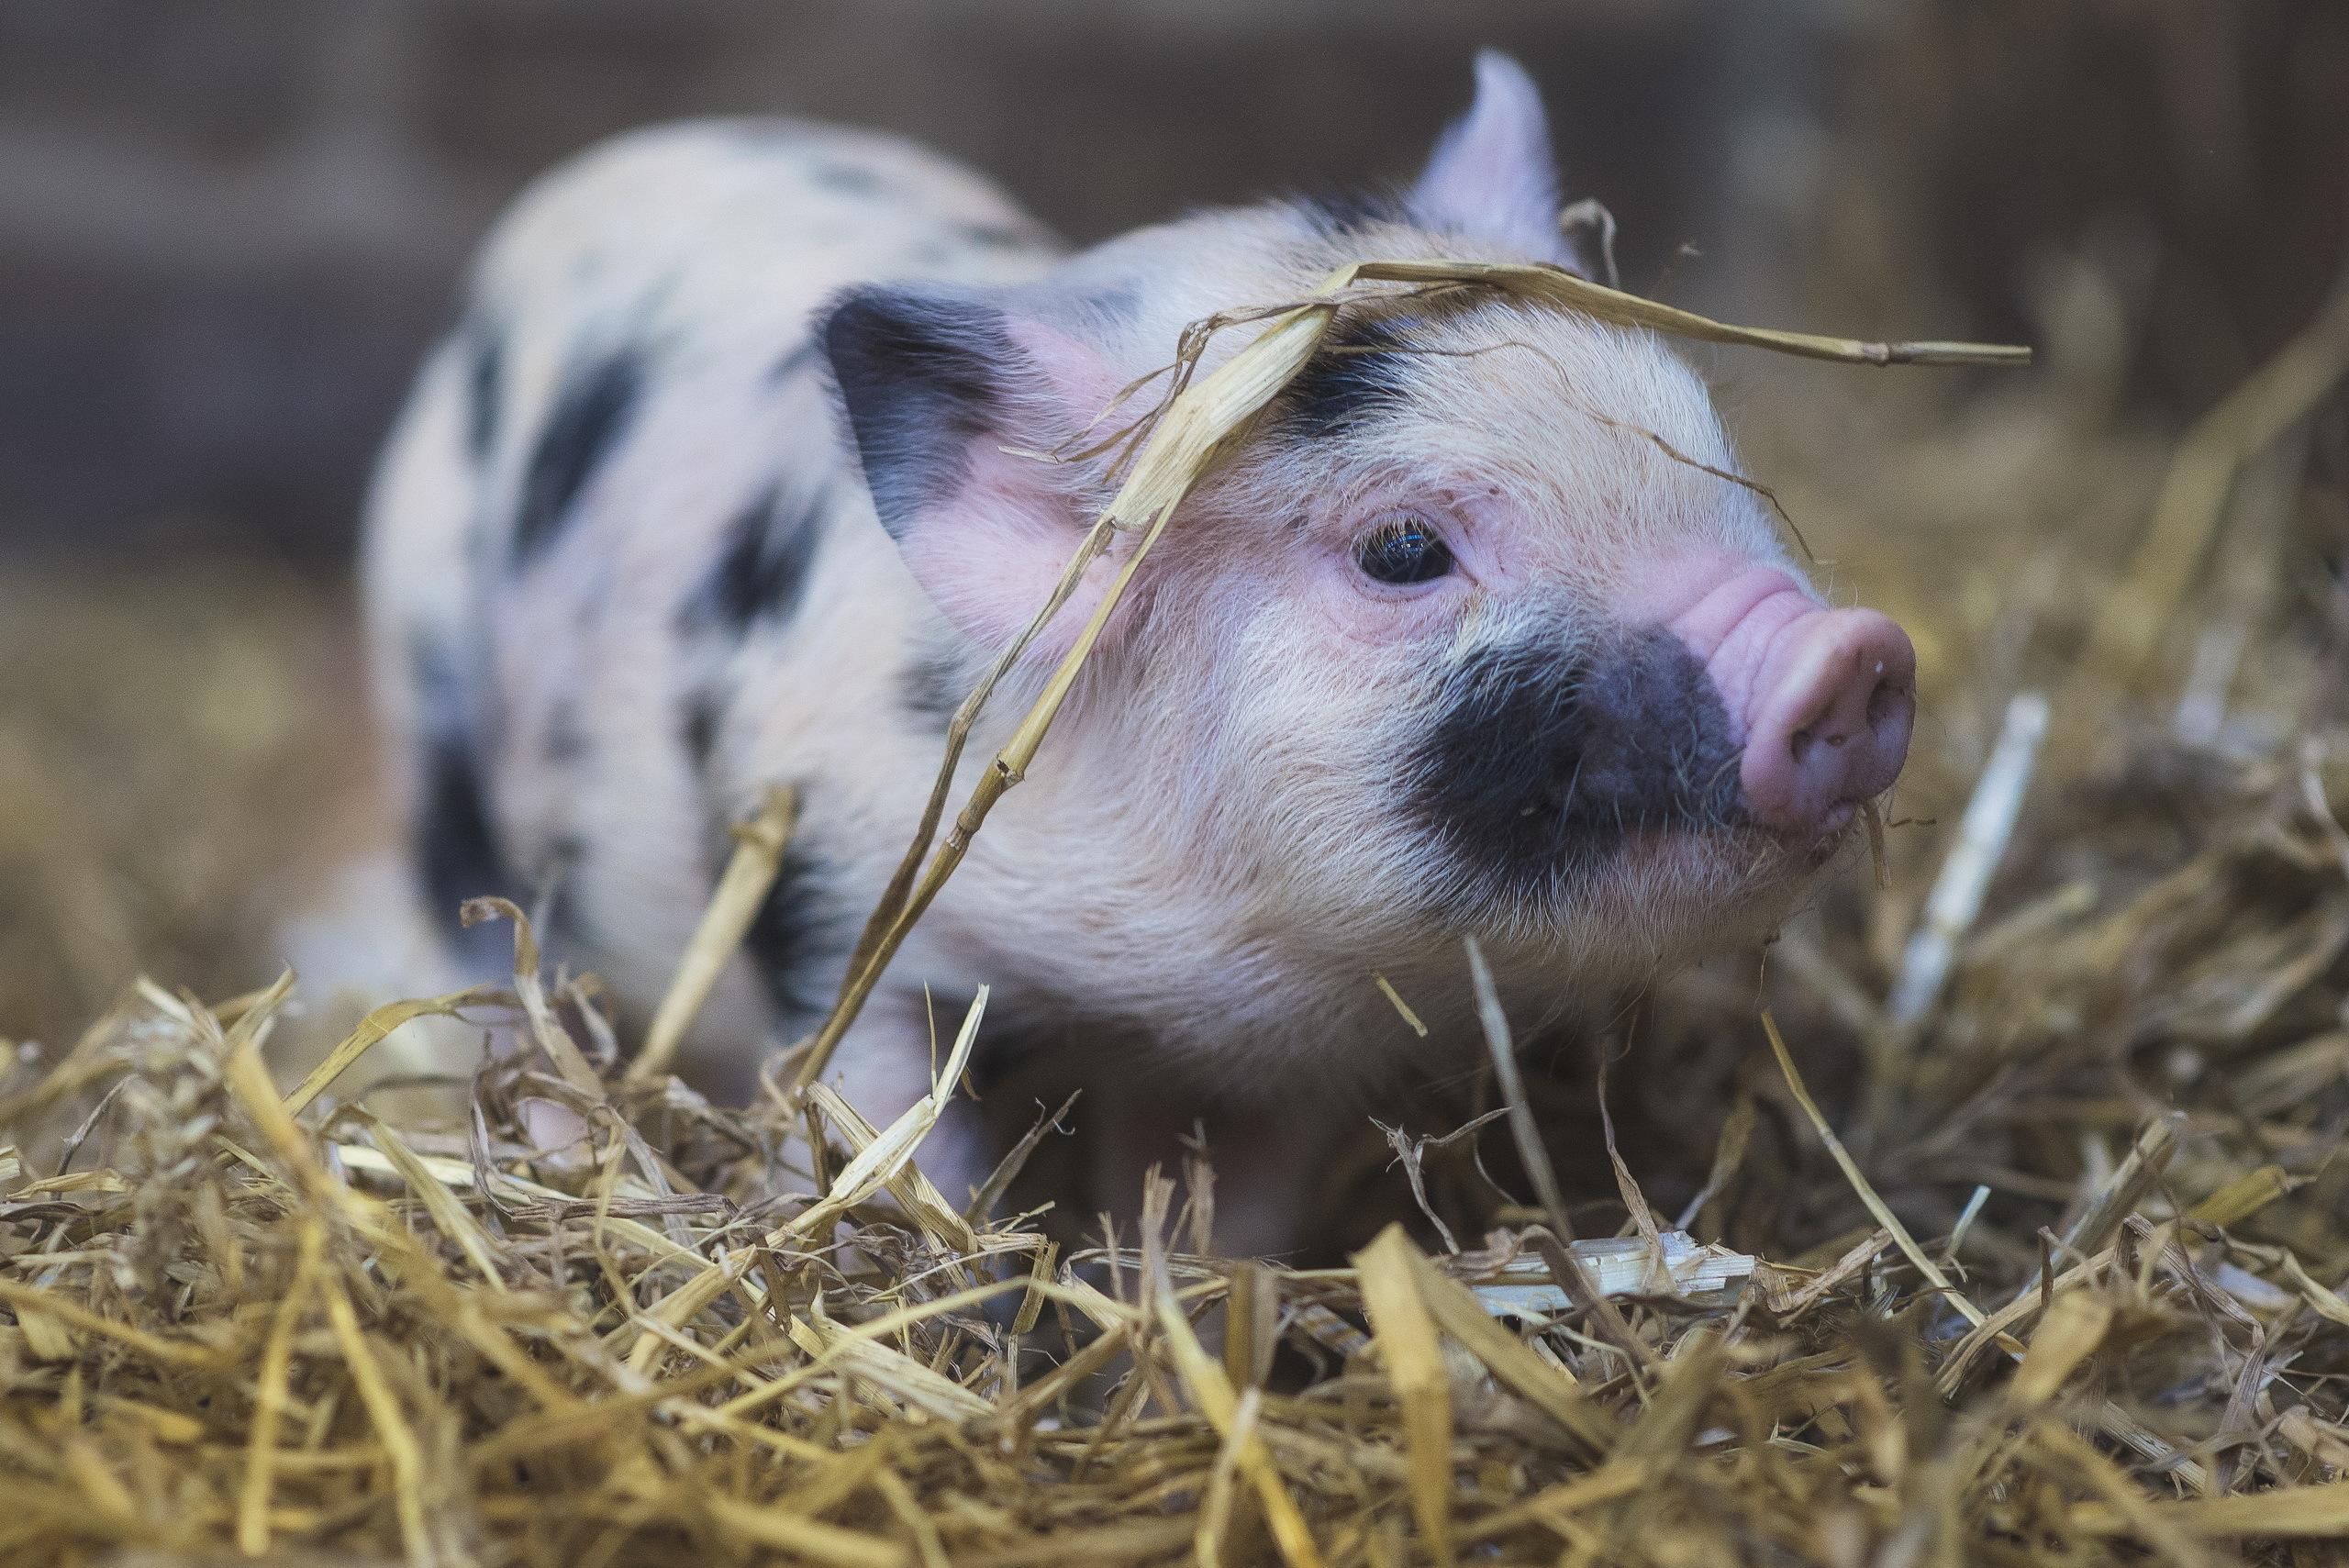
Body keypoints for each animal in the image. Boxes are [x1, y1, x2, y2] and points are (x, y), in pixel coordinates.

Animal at [358, 51, 1914, 1254]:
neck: (1146, 960)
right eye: (1405, 549)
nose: (1849, 655)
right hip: (430, 703)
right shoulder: (839, 911)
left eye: (1711, 448)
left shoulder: (1271, 1062)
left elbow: (1219, 1234)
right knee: (492, 956)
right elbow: (889, 1149)